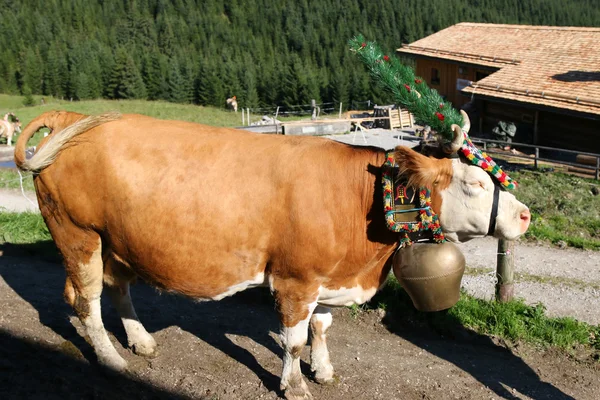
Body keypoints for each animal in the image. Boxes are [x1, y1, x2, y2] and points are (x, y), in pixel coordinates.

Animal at [14, 111, 528, 400]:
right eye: (475, 183)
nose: (524, 216)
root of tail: (71, 116)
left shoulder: (326, 276)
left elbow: (322, 327)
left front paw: (323, 370)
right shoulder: (295, 280)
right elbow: (293, 339)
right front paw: (294, 385)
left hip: (117, 240)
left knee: (117, 287)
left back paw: (140, 341)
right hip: (77, 233)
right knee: (85, 300)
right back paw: (110, 359)